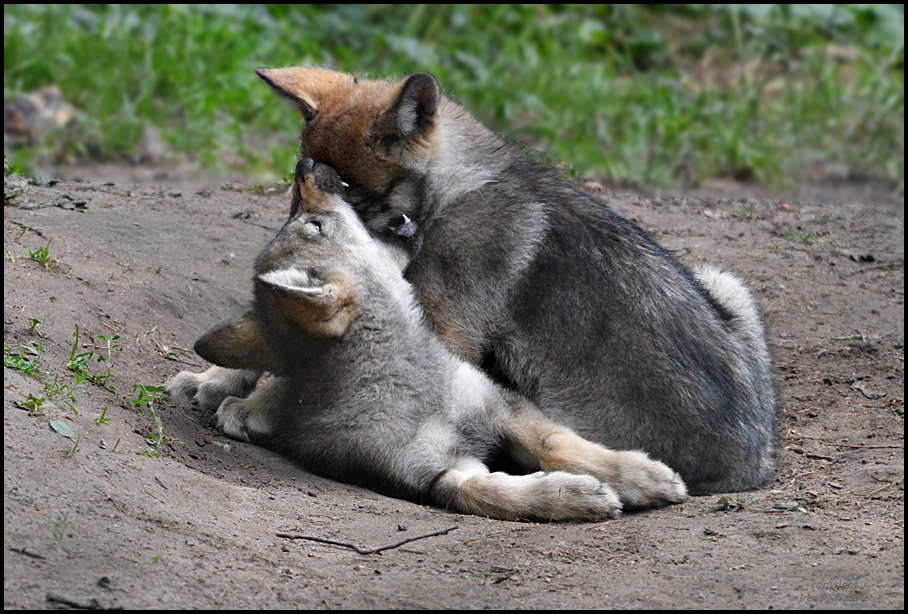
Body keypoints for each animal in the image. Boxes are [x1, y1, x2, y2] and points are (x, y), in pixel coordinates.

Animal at [167, 160, 684, 524]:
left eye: (311, 225)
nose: (306, 164)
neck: (411, 392)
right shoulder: (434, 475)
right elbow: (485, 492)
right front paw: (570, 496)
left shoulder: (504, 407)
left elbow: (558, 444)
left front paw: (643, 477)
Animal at [243, 66, 780, 496]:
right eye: (302, 175)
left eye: (350, 187)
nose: (306, 171)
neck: (456, 192)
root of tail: (752, 469)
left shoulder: (442, 332)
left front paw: (256, 404)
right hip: (723, 282)